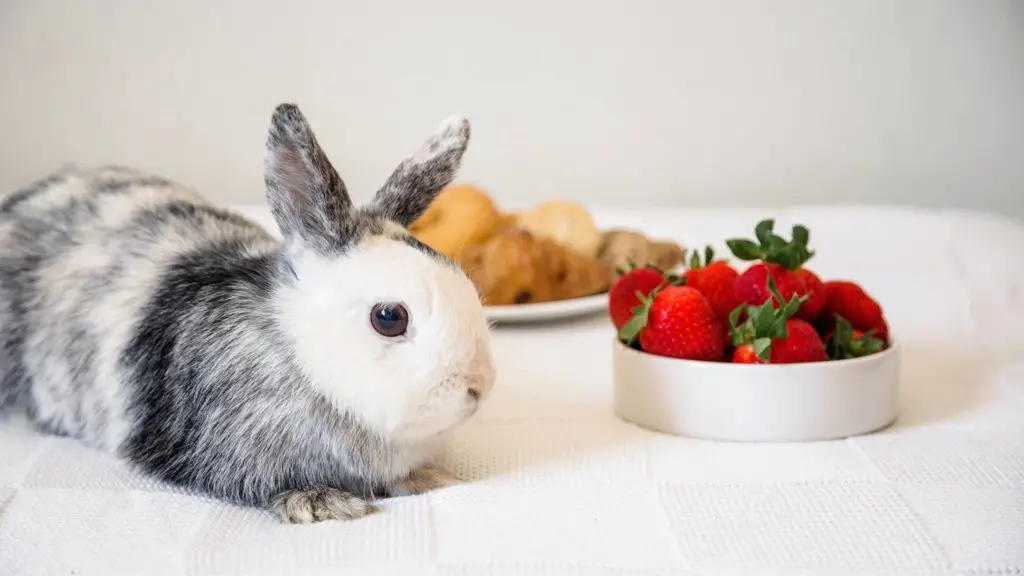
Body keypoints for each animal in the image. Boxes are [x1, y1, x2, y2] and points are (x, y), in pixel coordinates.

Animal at [0, 101, 495, 520]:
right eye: (389, 317)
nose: (479, 388)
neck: (298, 355)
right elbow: (260, 486)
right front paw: (323, 504)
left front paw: (431, 478)